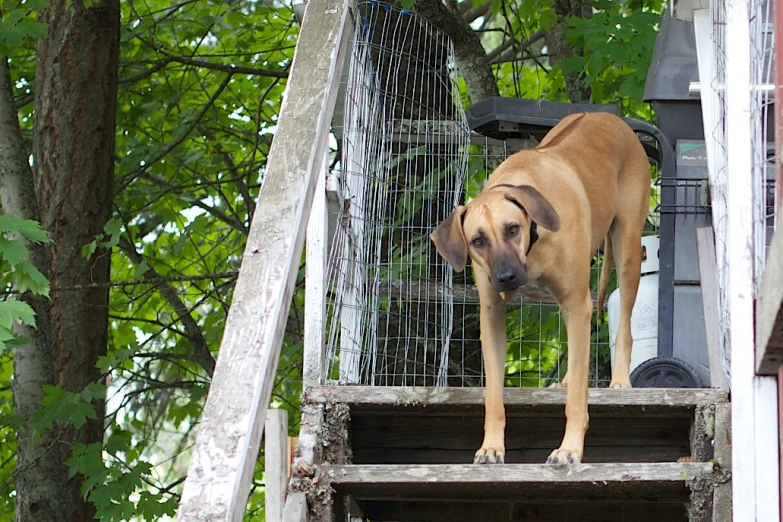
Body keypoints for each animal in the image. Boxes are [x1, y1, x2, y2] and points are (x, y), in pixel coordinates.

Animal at [432, 111, 652, 462]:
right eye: (478, 241)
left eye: (512, 229)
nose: (506, 277)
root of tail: (608, 115)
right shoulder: (492, 316)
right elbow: (493, 397)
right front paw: (491, 446)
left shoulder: (576, 301)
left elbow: (576, 401)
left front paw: (570, 449)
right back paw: (566, 379)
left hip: (629, 249)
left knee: (623, 329)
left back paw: (619, 381)